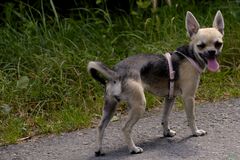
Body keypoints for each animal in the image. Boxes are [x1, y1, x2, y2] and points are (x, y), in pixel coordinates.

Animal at [87, 10, 224, 156]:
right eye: (201, 45)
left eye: (218, 44)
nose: (212, 52)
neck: (190, 55)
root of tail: (117, 72)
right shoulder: (188, 98)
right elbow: (191, 117)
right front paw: (195, 132)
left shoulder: (169, 98)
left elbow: (165, 117)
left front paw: (166, 132)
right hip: (139, 105)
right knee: (125, 128)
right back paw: (133, 148)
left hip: (110, 107)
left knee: (100, 127)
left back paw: (99, 149)